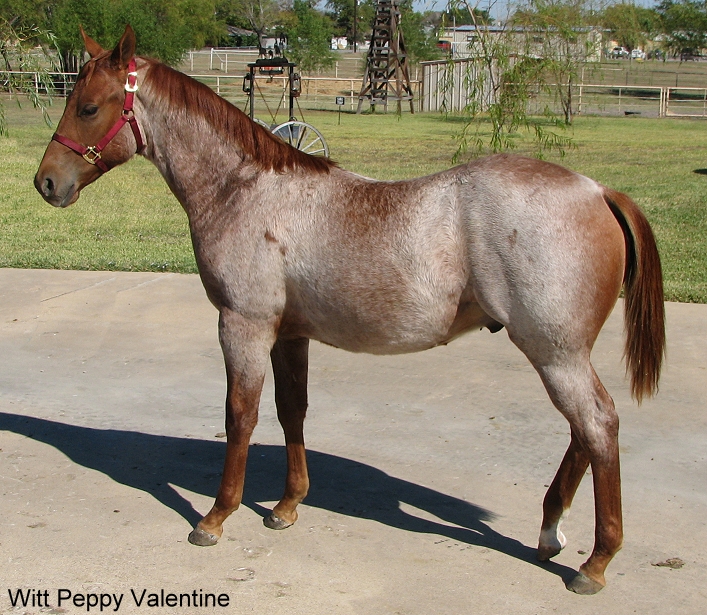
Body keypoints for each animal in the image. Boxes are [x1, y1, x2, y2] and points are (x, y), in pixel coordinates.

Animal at [34, 26, 665, 595]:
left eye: (89, 106)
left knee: (597, 425)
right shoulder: (290, 334)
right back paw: (551, 532)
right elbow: (291, 412)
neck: (244, 189)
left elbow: (240, 416)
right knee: (583, 434)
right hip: (560, 354)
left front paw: (215, 517)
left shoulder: (243, 325)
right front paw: (286, 506)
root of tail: (597, 191)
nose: (46, 182)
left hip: (554, 353)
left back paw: (595, 562)